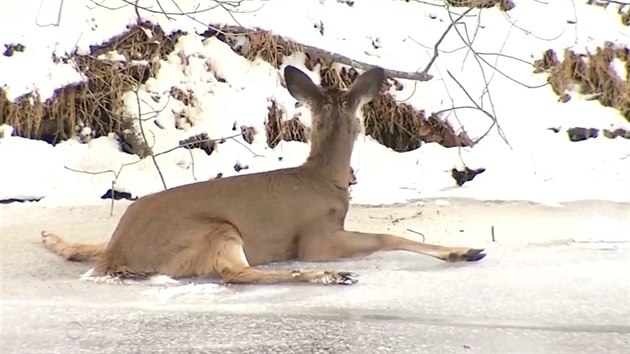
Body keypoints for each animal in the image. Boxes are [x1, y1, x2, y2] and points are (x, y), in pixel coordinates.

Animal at [40, 64, 488, 284]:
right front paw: (464, 250)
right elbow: (386, 236)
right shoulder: (317, 237)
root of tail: (117, 256)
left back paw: (52, 237)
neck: (323, 178)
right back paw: (331, 276)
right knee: (234, 275)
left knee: (88, 247)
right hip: (214, 229)